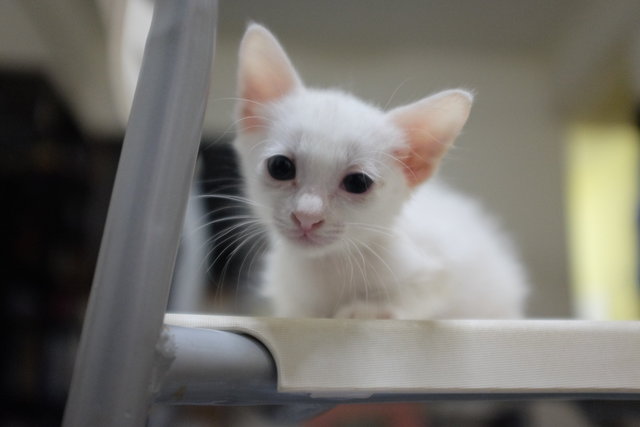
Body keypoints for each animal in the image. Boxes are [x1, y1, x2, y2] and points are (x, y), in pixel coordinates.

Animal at [230, 22, 524, 318]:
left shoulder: (440, 269)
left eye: (358, 183)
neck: (328, 266)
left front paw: (362, 310)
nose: (307, 217)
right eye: (280, 167)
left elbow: (417, 295)